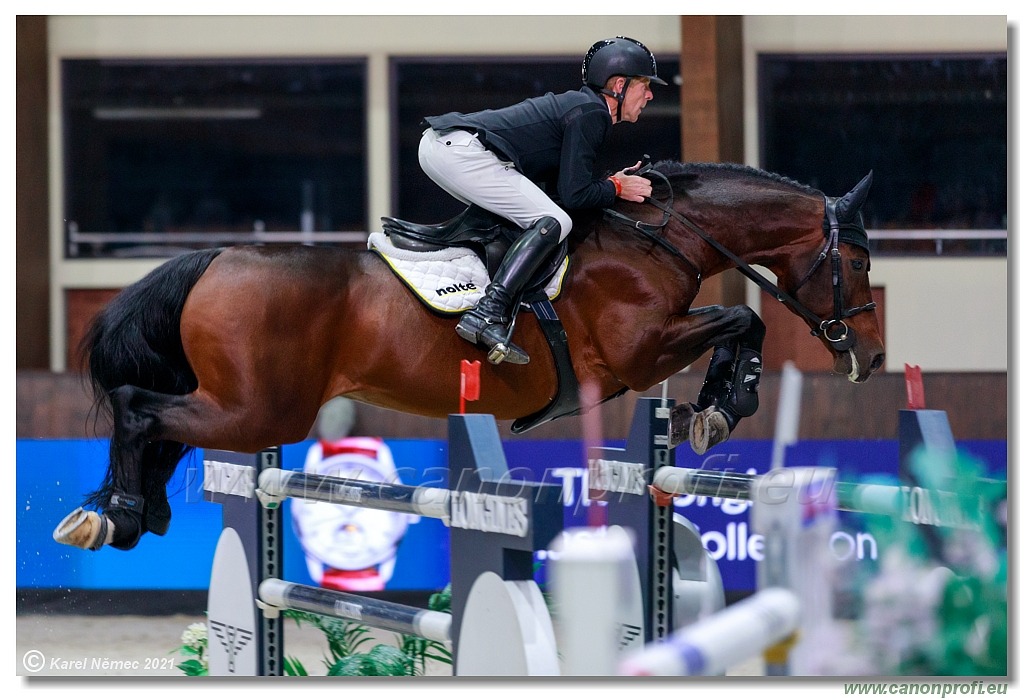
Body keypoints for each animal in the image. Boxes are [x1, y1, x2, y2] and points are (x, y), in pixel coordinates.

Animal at [56, 162, 884, 552]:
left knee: (160, 423)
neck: (661, 234)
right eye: (859, 262)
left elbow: (739, 321)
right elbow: (742, 317)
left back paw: (124, 513)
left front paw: (714, 409)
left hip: (239, 403)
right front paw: (722, 407)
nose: (873, 359)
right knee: (140, 410)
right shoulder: (639, 354)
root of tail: (216, 258)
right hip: (261, 409)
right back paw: (118, 511)